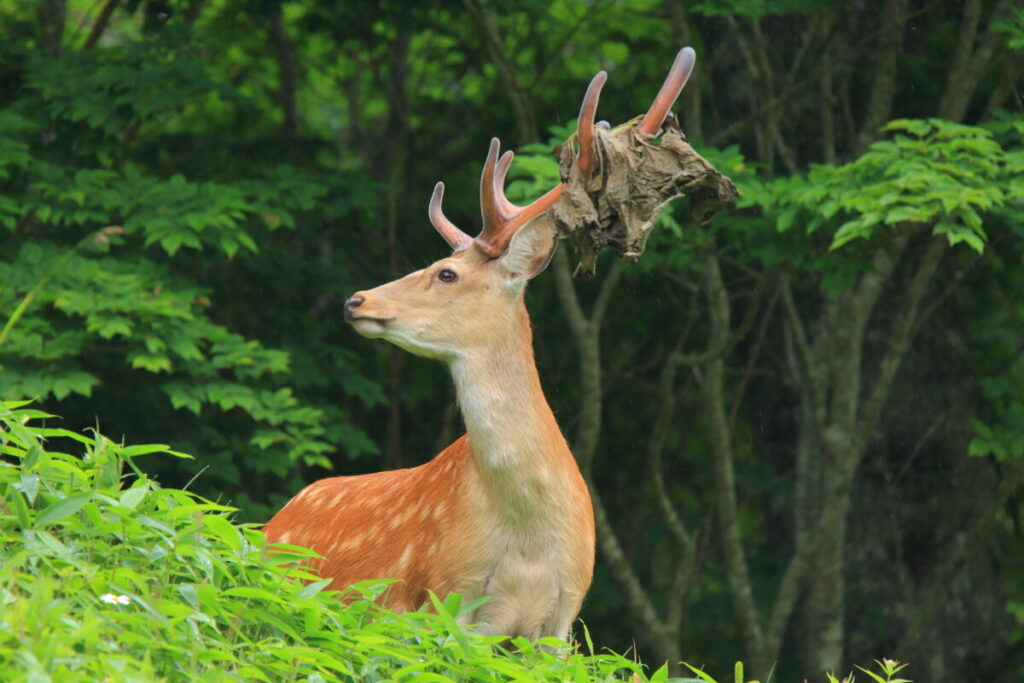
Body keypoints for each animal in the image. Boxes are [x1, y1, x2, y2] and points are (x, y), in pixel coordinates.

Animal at [262, 46, 696, 643]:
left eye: (446, 273)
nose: (355, 301)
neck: (527, 539)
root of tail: (272, 523)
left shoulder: (563, 616)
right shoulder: (443, 597)